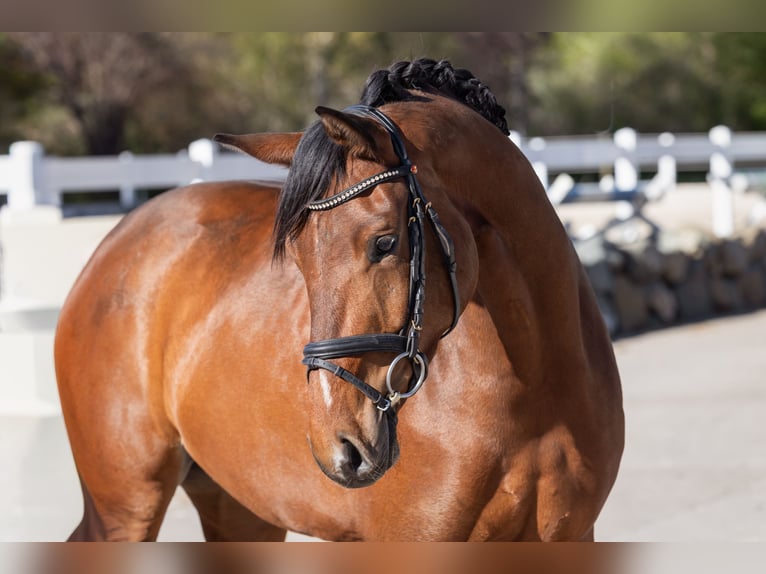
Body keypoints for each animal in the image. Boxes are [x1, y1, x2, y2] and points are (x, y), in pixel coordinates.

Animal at [55, 59, 624, 541]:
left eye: (385, 243)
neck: (533, 393)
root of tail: (118, 238)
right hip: (127, 503)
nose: (340, 447)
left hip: (237, 505)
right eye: (298, 258)